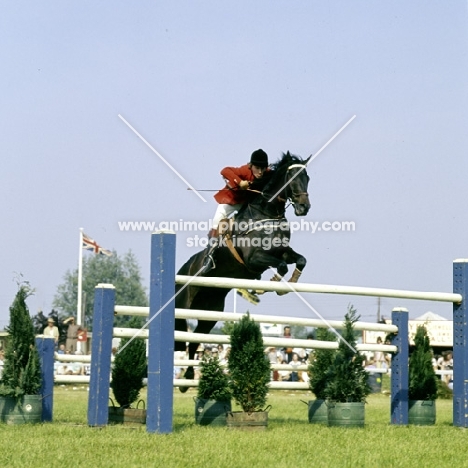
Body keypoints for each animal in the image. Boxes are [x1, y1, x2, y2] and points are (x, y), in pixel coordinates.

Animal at [175, 153, 310, 388]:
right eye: (293, 179)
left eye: (308, 178)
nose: (304, 207)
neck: (267, 213)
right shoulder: (254, 258)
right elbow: (281, 266)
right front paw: (267, 287)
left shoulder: (282, 252)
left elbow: (299, 260)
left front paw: (286, 284)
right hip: (185, 306)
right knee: (185, 336)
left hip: (209, 312)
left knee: (195, 341)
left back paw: (189, 377)